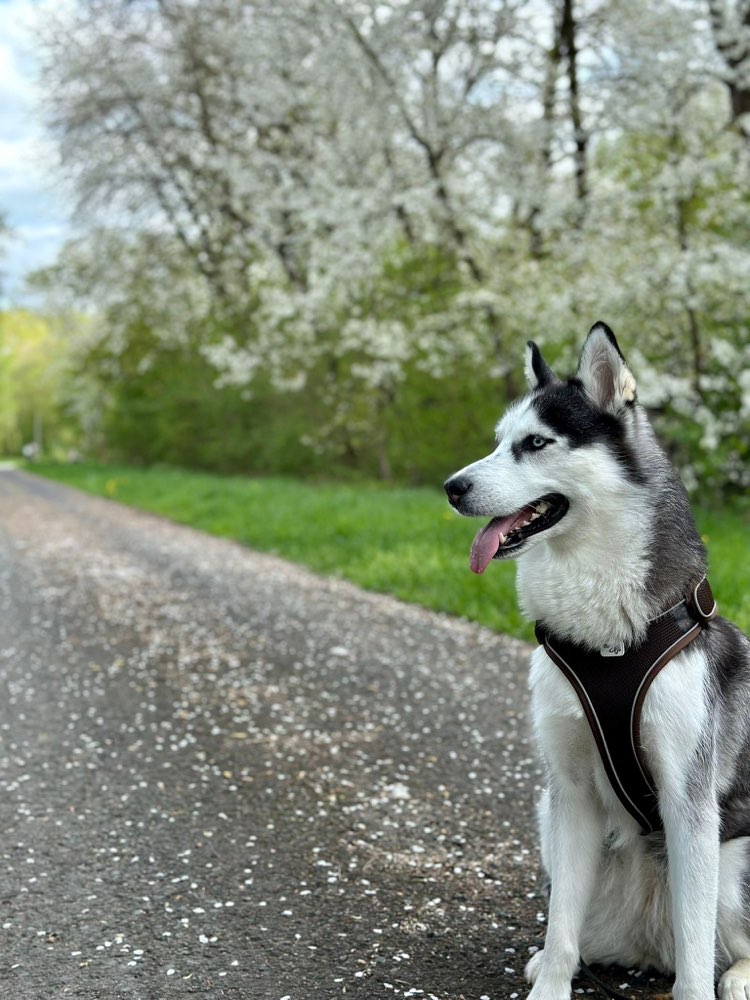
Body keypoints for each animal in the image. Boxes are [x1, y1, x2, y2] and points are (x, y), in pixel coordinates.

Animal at [444, 324, 750, 996]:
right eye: (498, 442)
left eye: (535, 443)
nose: (452, 488)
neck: (609, 643)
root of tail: (648, 948)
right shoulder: (571, 792)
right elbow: (561, 925)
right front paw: (550, 986)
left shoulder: (689, 805)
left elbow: (696, 959)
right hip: (549, 821)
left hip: (736, 865)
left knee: (716, 946)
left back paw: (738, 976)